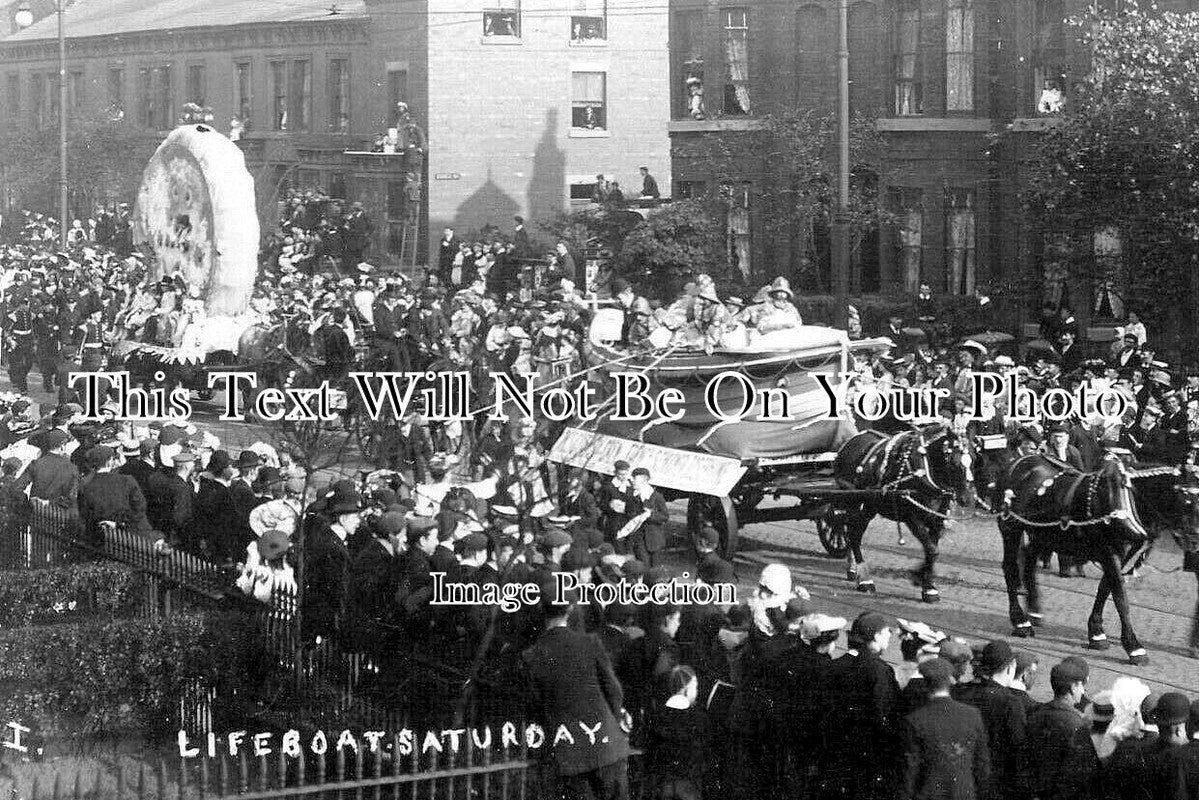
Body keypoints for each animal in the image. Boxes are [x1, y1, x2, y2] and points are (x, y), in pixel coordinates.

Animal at [834, 424, 973, 599]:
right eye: (953, 464)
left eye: (974, 460)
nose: (967, 499)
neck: (924, 469)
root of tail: (848, 444)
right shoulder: (911, 517)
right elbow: (932, 550)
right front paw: (919, 578)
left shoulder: (937, 518)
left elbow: (932, 550)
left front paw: (928, 585)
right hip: (855, 504)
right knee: (853, 535)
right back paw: (865, 580)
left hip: (869, 507)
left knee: (850, 532)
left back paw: (852, 570)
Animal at [997, 453, 1155, 666]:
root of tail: (1017, 462)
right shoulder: (1109, 553)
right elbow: (1120, 597)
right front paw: (1134, 647)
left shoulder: (1119, 556)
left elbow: (1104, 589)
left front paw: (1097, 634)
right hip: (1011, 529)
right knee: (1011, 569)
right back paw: (1021, 622)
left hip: (1044, 535)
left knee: (1028, 561)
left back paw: (1034, 611)